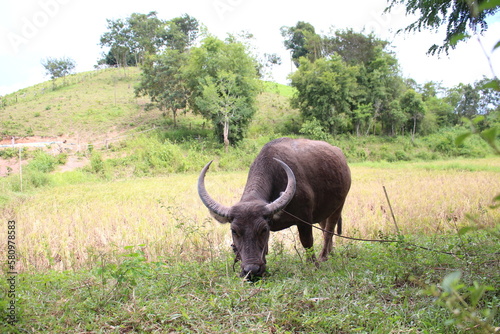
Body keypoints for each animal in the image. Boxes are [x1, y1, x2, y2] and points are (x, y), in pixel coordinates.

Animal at [198, 137, 352, 278]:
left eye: (263, 230)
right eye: (234, 231)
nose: (251, 270)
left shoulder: (304, 219)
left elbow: (307, 242)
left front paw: (313, 265)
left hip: (339, 205)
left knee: (329, 231)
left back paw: (324, 257)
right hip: (323, 213)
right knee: (325, 228)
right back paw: (330, 253)